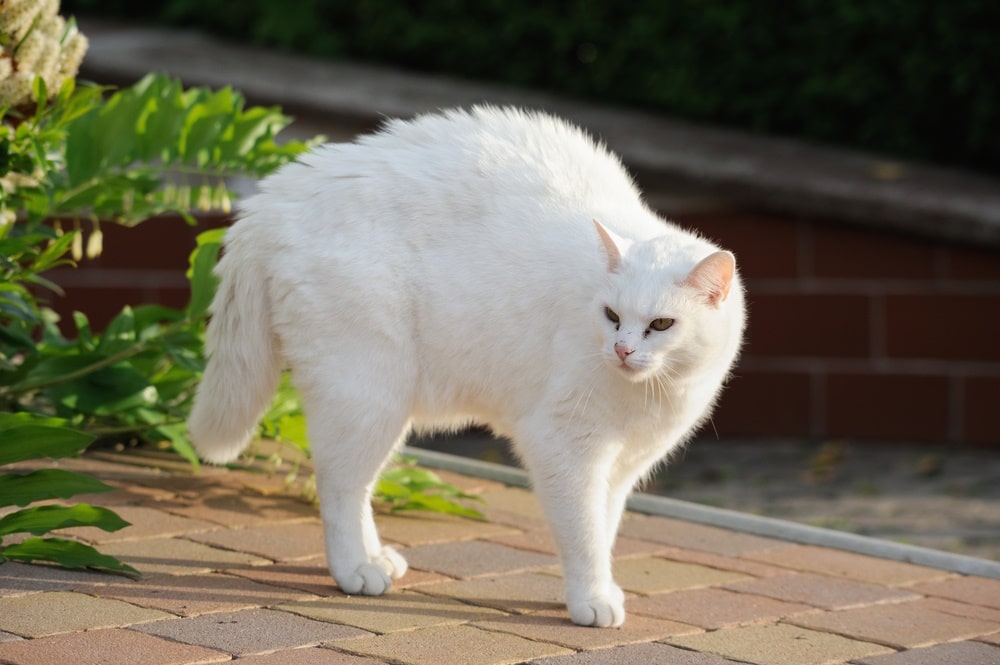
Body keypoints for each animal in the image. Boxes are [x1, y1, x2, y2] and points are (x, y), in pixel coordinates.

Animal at [191, 106, 748, 624]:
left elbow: (605, 527)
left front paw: (603, 589)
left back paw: (376, 558)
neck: (655, 391)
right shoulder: (565, 447)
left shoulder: (624, 465)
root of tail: (272, 200)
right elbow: (585, 534)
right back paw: (355, 570)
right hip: (366, 397)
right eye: (612, 316)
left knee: (357, 485)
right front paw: (591, 599)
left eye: (661, 325)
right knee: (337, 484)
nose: (623, 350)